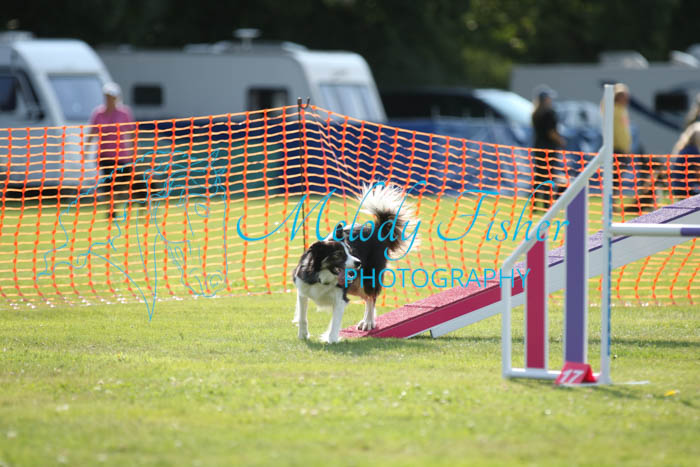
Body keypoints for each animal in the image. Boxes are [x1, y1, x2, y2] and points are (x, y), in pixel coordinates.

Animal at [292, 183, 417, 343]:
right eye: (339, 254)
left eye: (350, 251)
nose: (358, 263)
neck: (322, 276)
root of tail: (377, 230)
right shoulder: (303, 291)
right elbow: (302, 317)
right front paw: (303, 335)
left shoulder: (340, 299)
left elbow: (335, 322)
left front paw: (331, 340)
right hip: (355, 286)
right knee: (367, 298)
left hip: (367, 279)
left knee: (371, 298)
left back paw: (368, 322)